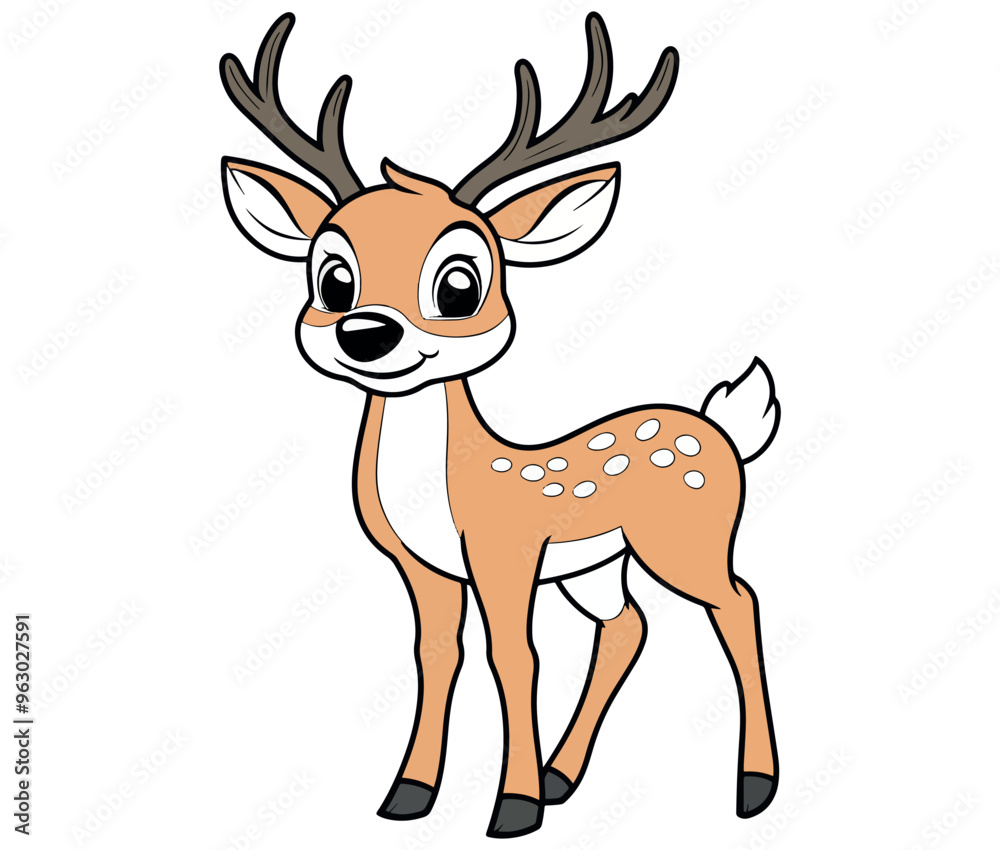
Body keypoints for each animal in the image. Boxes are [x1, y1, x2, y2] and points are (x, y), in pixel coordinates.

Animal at [220, 11, 780, 838]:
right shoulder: (425, 568)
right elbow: (436, 657)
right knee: (629, 626)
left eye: (461, 284)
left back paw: (753, 785)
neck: (448, 487)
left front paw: (512, 808)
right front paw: (409, 794)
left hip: (686, 539)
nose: (366, 333)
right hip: (598, 566)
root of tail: (725, 427)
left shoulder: (505, 551)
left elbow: (515, 657)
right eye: (333, 277)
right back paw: (562, 775)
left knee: (738, 603)